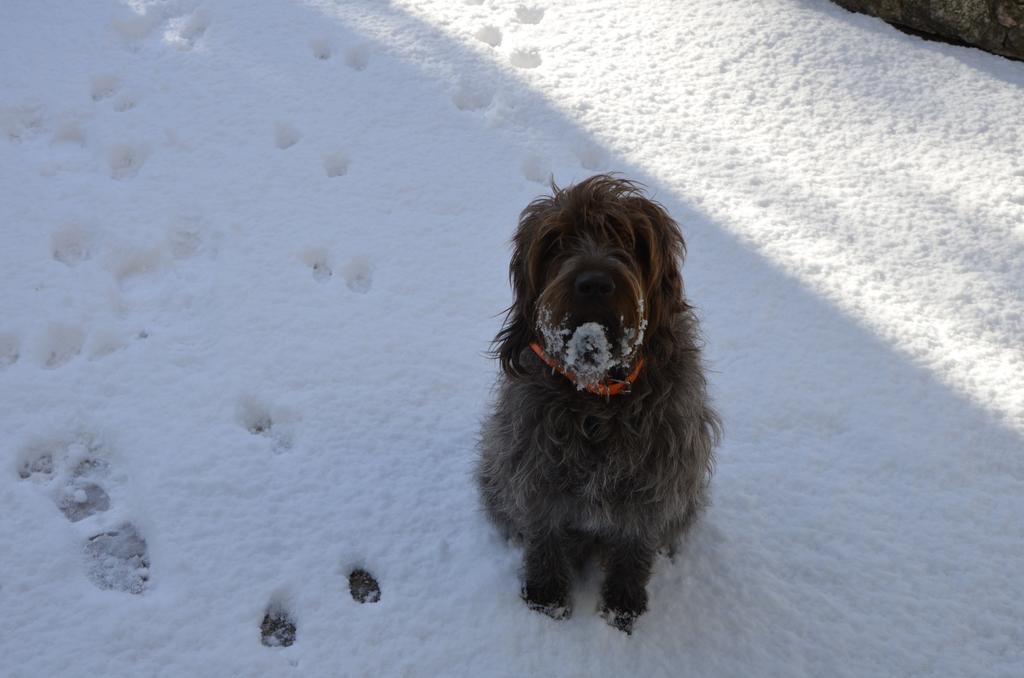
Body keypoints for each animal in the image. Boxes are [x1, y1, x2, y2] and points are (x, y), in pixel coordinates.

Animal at [477, 175, 720, 639]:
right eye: (556, 241)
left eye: (630, 239)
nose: (593, 283)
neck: (595, 398)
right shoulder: (536, 471)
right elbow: (545, 537)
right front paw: (546, 604)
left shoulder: (655, 483)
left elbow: (634, 547)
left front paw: (622, 611)